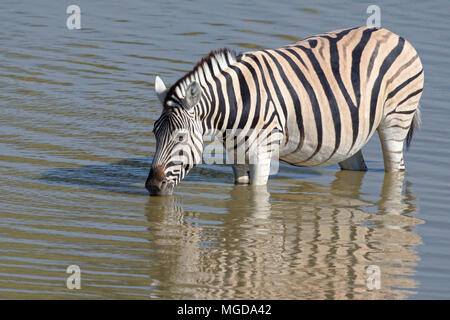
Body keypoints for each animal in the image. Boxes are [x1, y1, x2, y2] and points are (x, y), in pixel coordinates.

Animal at [146, 25, 424, 195]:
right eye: (154, 133)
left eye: (180, 137)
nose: (152, 185)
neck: (236, 103)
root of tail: (393, 34)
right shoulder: (236, 156)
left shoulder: (262, 152)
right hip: (349, 134)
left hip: (396, 119)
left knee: (396, 169)